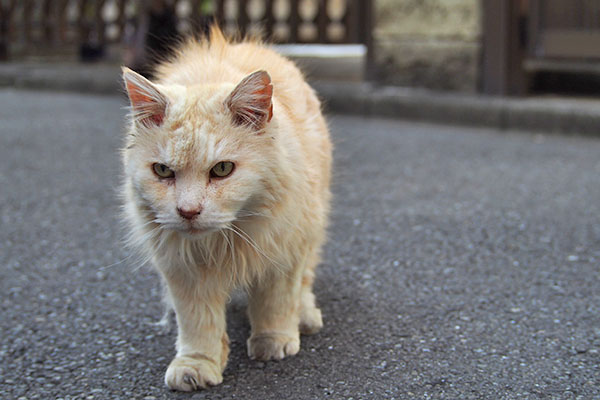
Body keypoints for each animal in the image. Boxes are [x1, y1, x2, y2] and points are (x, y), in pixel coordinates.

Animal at [119, 26, 330, 392]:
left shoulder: (284, 251)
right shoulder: (183, 268)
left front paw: (273, 342)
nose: (188, 211)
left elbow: (276, 302)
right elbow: (197, 324)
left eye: (222, 170)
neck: (220, 244)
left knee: (304, 283)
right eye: (163, 171)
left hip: (312, 226)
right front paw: (196, 367)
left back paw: (304, 317)